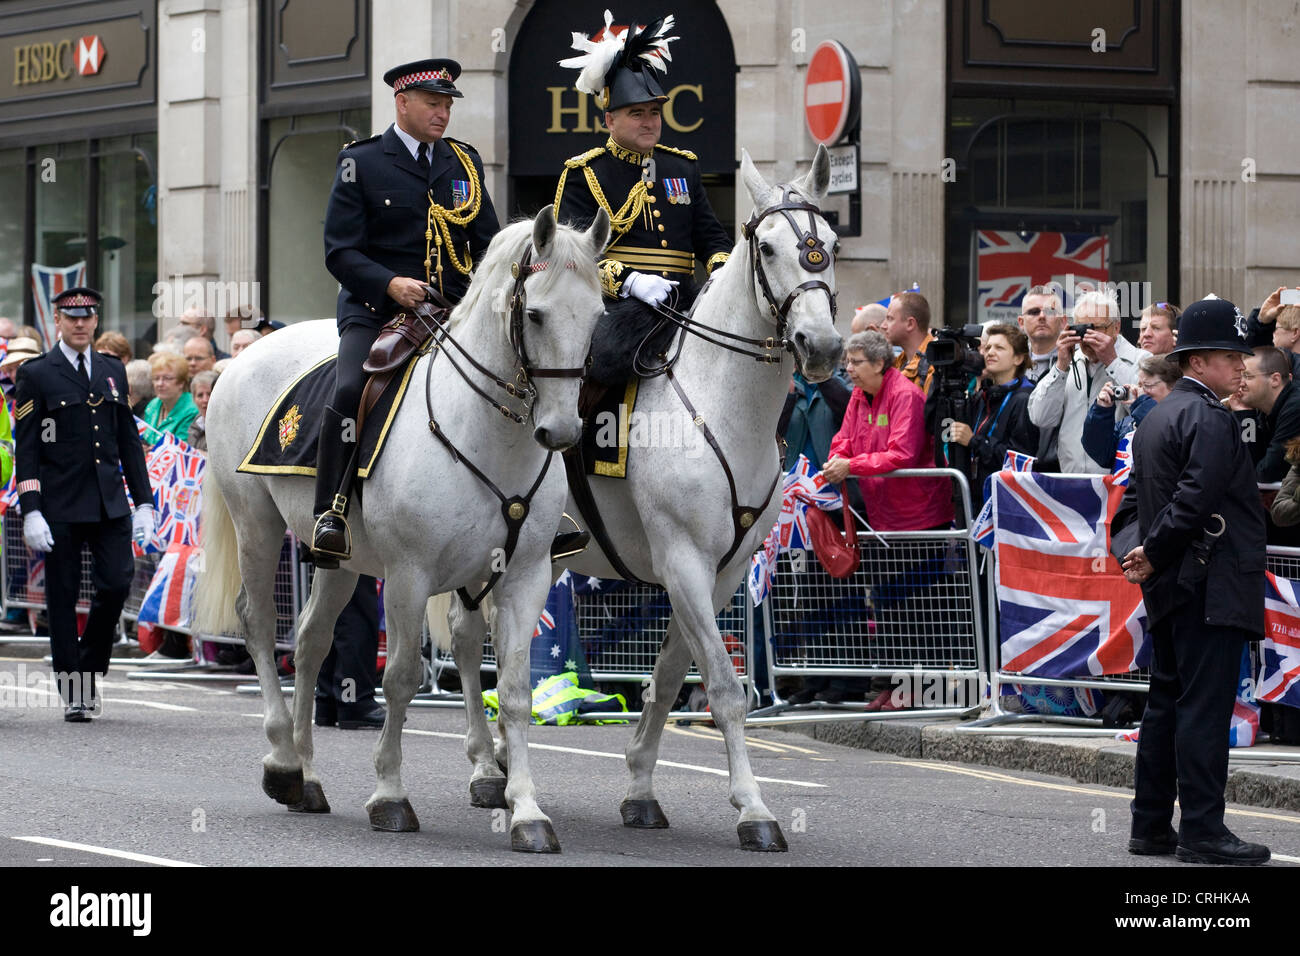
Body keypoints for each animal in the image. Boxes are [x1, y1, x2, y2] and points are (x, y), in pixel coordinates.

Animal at [196, 209, 608, 853]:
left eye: (596, 316)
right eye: (536, 313)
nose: (560, 432)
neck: (487, 433)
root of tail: (244, 353)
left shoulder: (523, 575)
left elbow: (514, 690)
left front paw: (526, 810)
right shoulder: (410, 575)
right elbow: (401, 678)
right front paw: (390, 795)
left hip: (337, 559)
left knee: (311, 642)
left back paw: (308, 777)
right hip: (256, 524)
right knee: (260, 624)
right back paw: (283, 761)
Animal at [436, 147, 842, 853]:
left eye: (832, 245)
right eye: (766, 247)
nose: (821, 346)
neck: (720, 401)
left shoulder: (722, 571)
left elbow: (672, 675)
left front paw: (640, 787)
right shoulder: (683, 558)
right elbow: (724, 686)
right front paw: (754, 808)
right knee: (464, 639)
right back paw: (488, 768)